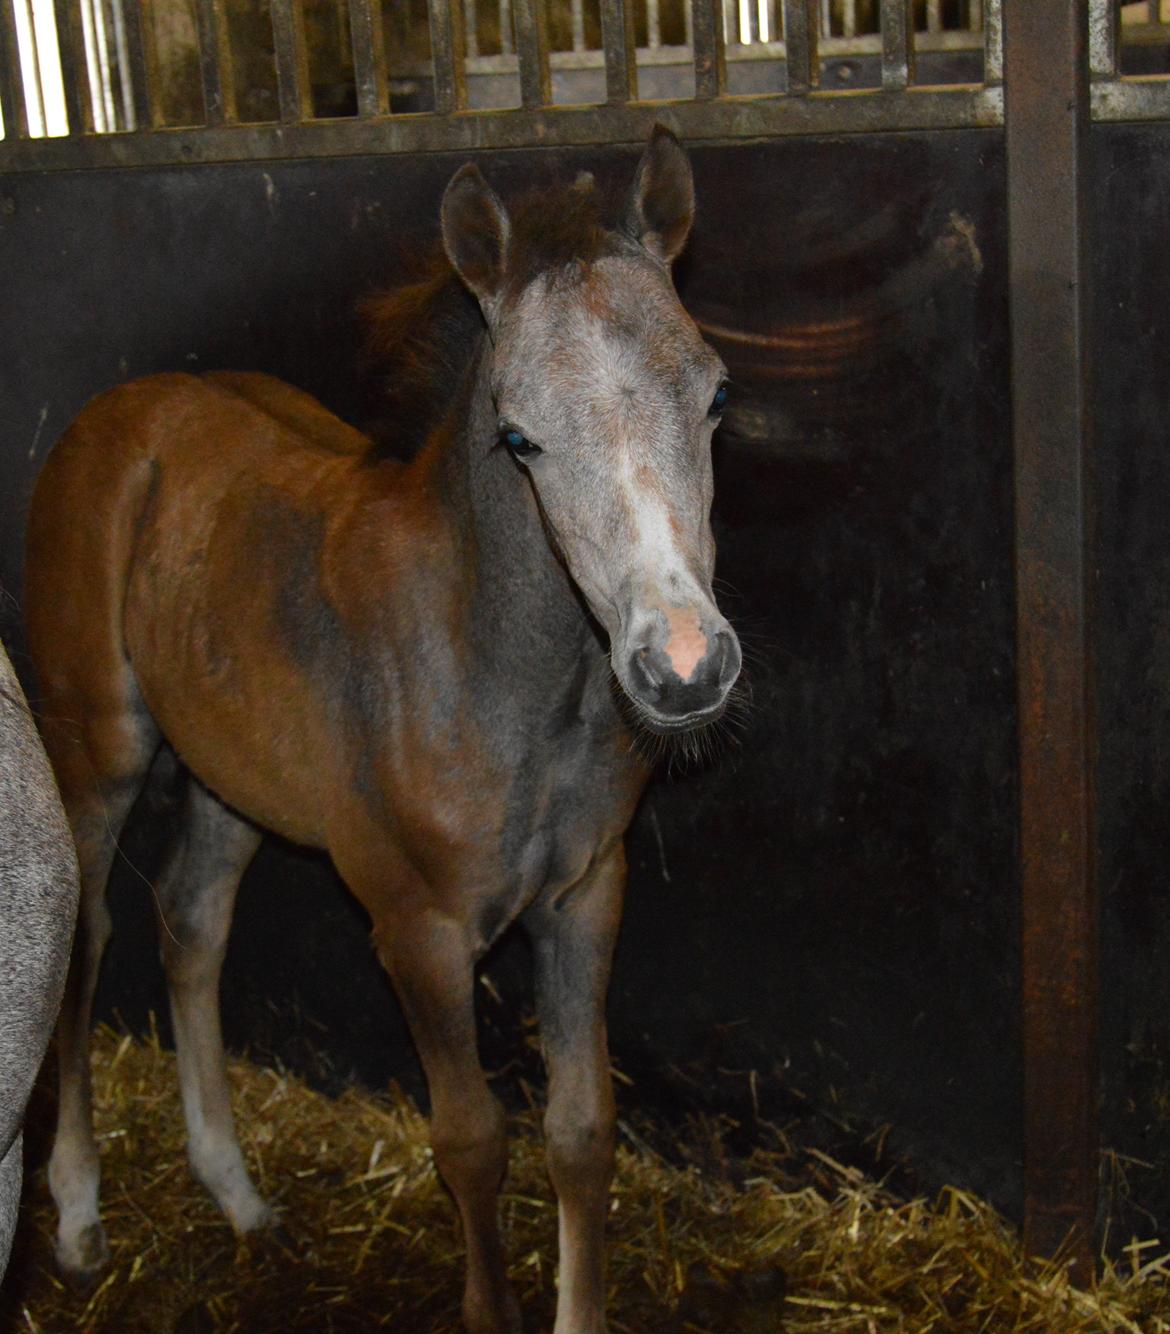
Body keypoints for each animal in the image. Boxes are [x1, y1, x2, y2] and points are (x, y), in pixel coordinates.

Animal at [25, 120, 741, 1328]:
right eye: (517, 435)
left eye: (716, 395)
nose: (683, 667)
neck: (505, 678)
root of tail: (110, 417)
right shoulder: (415, 927)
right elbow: (472, 1144)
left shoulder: (586, 897)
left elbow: (581, 1132)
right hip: (98, 749)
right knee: (90, 935)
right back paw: (77, 1216)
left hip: (229, 771)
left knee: (190, 921)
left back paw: (237, 1193)